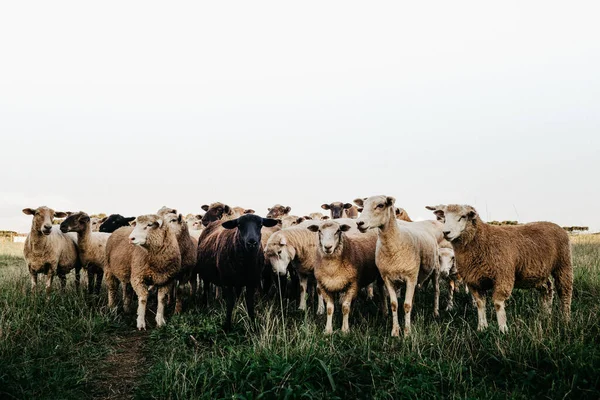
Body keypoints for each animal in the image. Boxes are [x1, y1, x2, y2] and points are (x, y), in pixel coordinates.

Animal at [352, 195, 440, 336]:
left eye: (381, 205)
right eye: (363, 206)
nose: (359, 223)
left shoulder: (410, 277)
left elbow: (407, 305)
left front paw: (407, 332)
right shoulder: (388, 279)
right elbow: (394, 304)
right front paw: (395, 331)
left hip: (435, 268)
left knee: (437, 290)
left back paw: (436, 312)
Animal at [426, 205, 572, 332]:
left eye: (463, 216)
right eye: (444, 217)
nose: (446, 232)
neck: (483, 240)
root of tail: (555, 225)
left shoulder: (503, 275)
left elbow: (497, 303)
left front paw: (503, 329)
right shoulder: (474, 280)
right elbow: (480, 304)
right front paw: (482, 327)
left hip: (563, 264)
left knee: (565, 292)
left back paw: (565, 319)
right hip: (537, 273)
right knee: (547, 288)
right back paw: (546, 314)